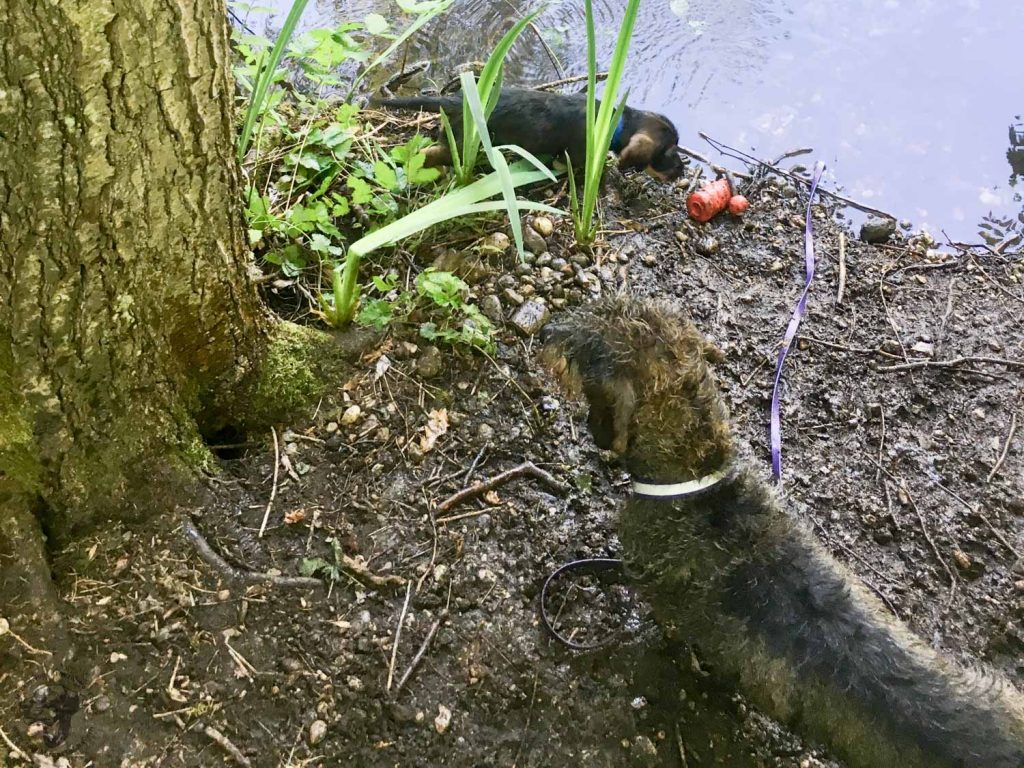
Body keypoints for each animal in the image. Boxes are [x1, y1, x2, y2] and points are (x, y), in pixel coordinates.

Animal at [372, 88, 684, 182]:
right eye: (667, 153)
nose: (681, 173)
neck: (613, 120)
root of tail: (457, 98)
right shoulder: (579, 155)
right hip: (464, 145)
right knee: (430, 153)